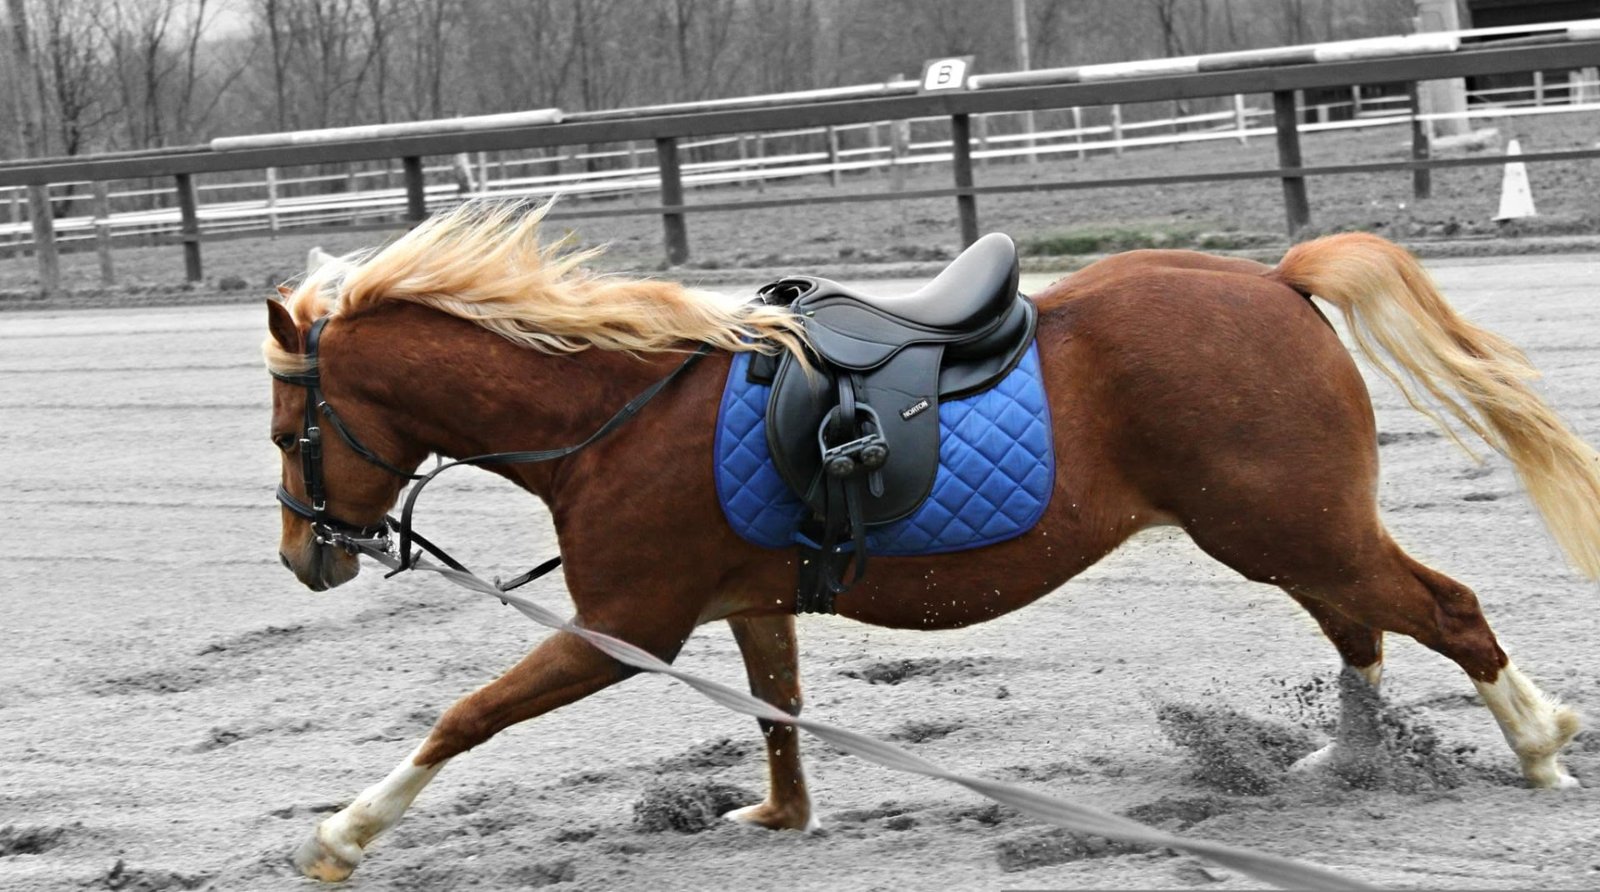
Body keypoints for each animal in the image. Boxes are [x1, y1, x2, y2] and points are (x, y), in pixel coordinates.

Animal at [264, 202, 1599, 882]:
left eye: (290, 432)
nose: (305, 556)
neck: (618, 409)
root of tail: (1275, 281)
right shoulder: (745, 604)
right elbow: (777, 710)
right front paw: (781, 817)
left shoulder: (621, 626)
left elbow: (464, 716)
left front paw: (344, 832)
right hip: (1290, 528)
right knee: (1362, 622)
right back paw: (1350, 757)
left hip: (1285, 523)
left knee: (1443, 610)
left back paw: (1537, 746)